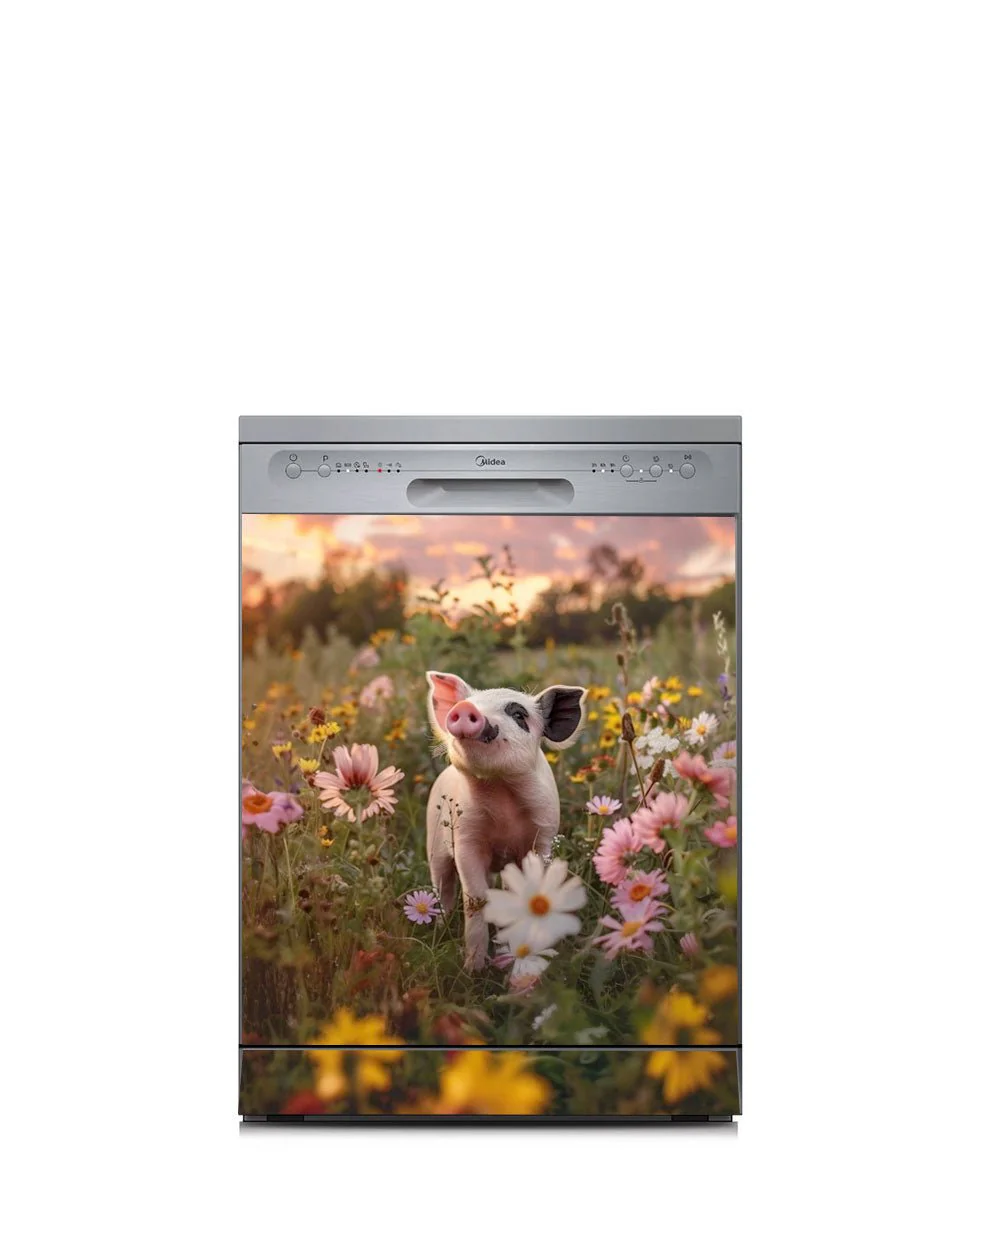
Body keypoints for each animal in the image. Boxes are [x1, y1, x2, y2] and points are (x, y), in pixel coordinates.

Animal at [424, 670, 587, 971]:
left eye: (519, 714)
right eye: (467, 704)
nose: (465, 708)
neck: (501, 796)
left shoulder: (544, 835)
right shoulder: (466, 838)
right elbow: (474, 898)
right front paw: (473, 970)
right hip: (434, 843)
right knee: (443, 887)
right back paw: (440, 929)